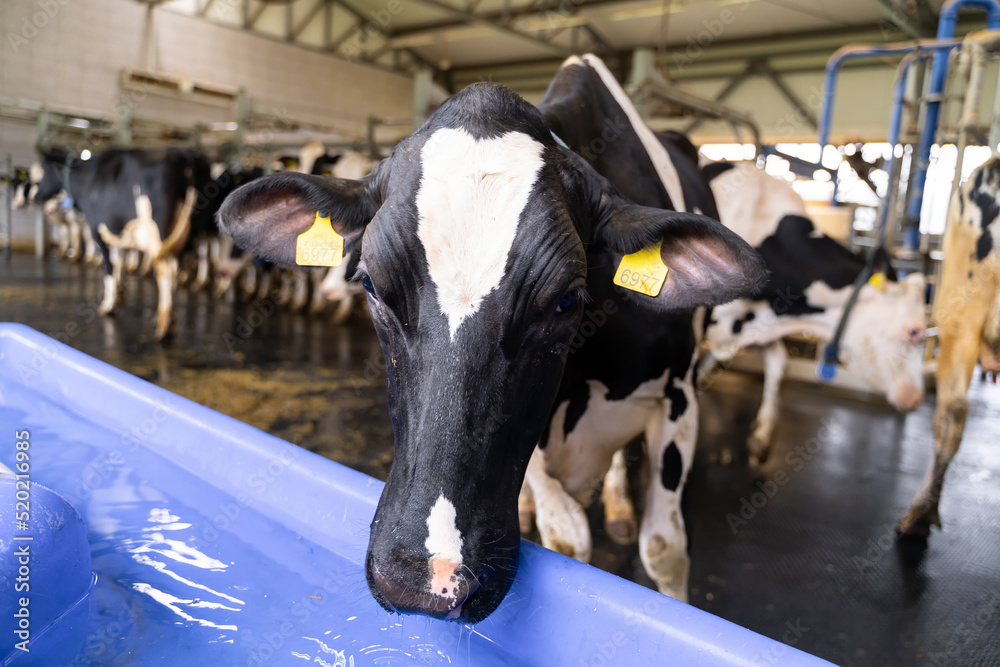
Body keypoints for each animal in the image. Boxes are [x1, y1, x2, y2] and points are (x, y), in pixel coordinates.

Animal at [219, 54, 764, 624]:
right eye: (369, 284)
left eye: (567, 301)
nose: (425, 580)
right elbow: (567, 536)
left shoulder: (679, 397)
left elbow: (664, 549)